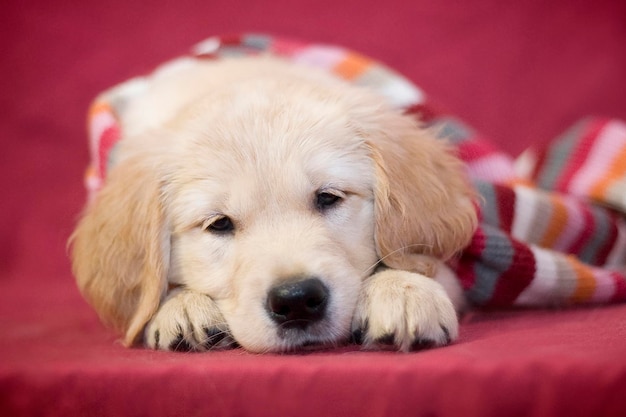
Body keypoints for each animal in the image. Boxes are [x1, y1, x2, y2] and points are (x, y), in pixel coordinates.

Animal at [70, 57, 476, 352]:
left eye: (328, 198)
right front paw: (181, 306)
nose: (296, 300)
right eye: (219, 224)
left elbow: (419, 263)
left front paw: (402, 290)